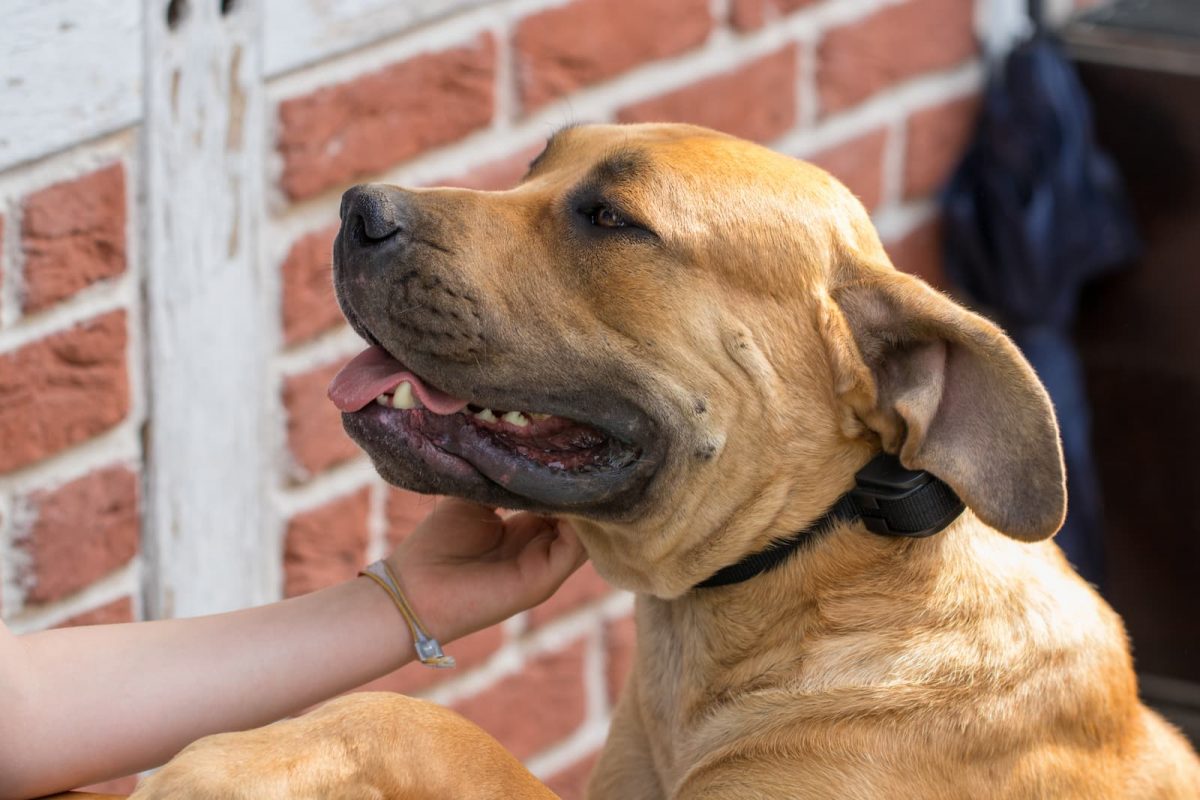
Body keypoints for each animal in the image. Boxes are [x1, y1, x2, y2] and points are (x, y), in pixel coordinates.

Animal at [131, 125, 1200, 800]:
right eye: (536, 164)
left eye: (613, 218)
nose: (358, 211)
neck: (808, 575)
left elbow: (420, 721)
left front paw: (238, 759)